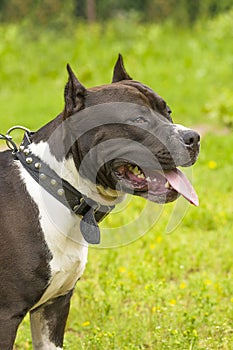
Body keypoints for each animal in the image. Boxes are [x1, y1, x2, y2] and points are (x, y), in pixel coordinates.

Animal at [0, 55, 200, 350]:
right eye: (138, 119)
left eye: (168, 112)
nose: (194, 137)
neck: (56, 186)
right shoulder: (6, 314)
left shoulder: (53, 307)